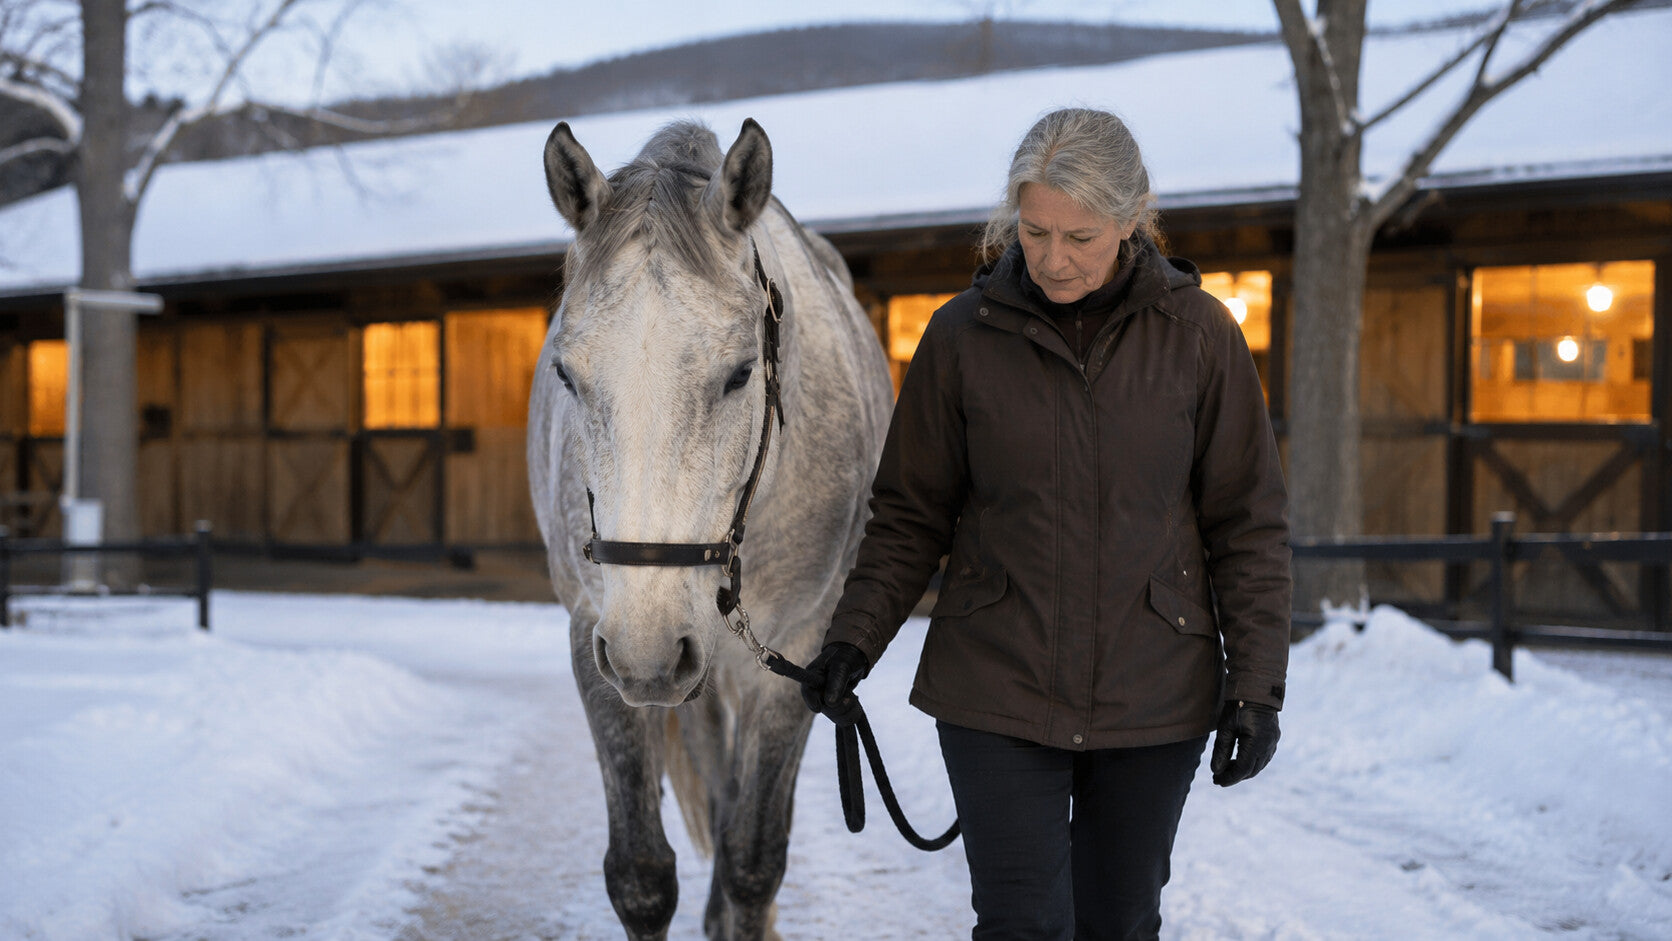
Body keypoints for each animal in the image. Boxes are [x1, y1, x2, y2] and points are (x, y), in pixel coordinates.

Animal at [527, 118, 893, 940]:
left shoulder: (797, 653)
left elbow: (751, 863)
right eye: (566, 374)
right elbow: (640, 876)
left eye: (739, 373)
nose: (648, 650)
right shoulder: (594, 635)